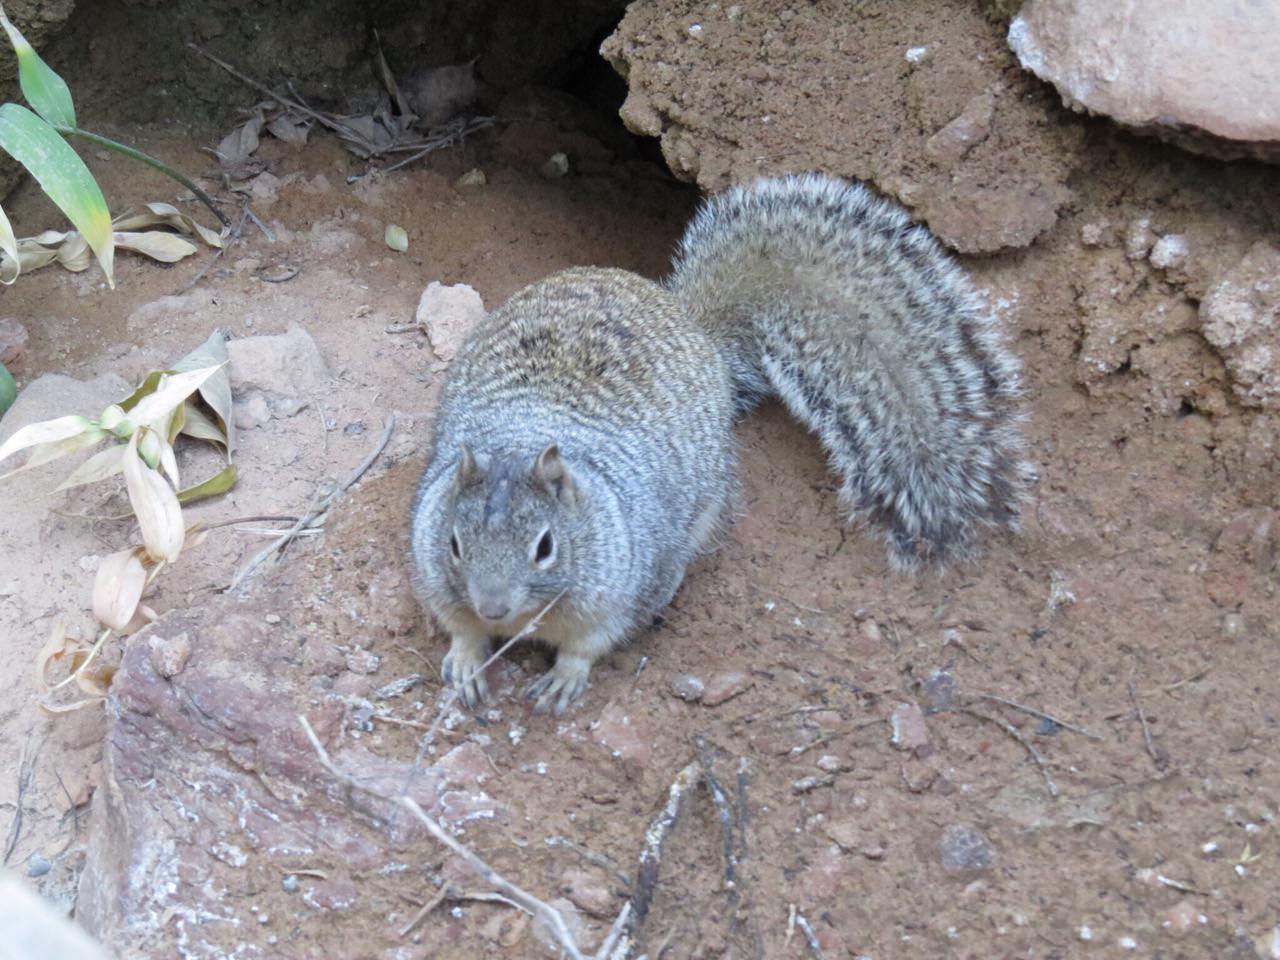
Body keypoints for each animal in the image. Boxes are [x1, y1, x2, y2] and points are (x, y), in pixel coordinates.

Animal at [409, 172, 1029, 716]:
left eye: (545, 546)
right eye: (454, 543)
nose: (493, 606)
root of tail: (687, 319)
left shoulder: (637, 580)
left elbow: (595, 640)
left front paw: (566, 675)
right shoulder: (431, 564)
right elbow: (456, 623)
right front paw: (466, 658)